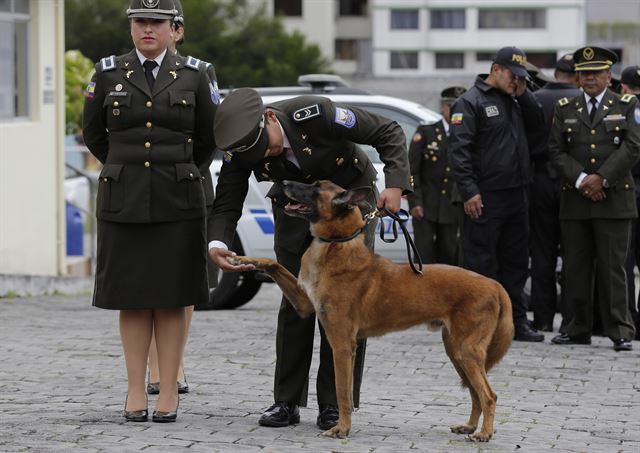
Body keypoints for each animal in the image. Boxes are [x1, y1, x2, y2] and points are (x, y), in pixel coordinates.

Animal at [232, 179, 512, 438]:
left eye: (315, 187)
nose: (283, 182)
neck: (335, 243)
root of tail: (495, 284)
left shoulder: (342, 346)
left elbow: (342, 392)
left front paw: (341, 428)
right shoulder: (303, 304)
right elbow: (273, 263)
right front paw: (242, 259)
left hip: (466, 351)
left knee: (489, 395)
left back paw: (484, 433)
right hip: (456, 352)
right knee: (475, 393)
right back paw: (470, 426)